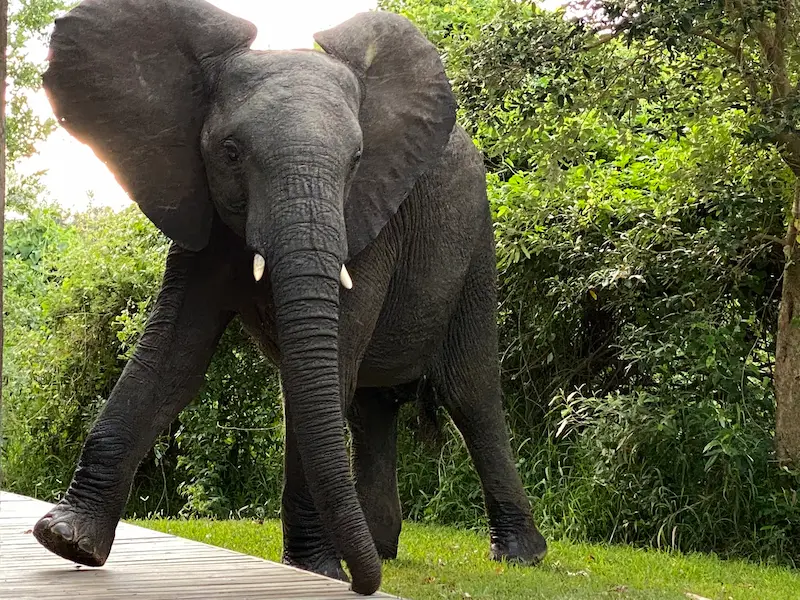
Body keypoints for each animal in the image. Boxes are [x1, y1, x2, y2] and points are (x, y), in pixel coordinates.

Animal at [31, 0, 547, 594]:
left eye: (356, 160)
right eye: (230, 153)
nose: (361, 585)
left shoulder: (367, 218)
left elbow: (332, 363)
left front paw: (313, 571)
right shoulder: (201, 214)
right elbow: (171, 358)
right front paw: (66, 539)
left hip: (475, 243)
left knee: (469, 390)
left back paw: (518, 556)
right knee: (372, 404)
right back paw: (380, 550)